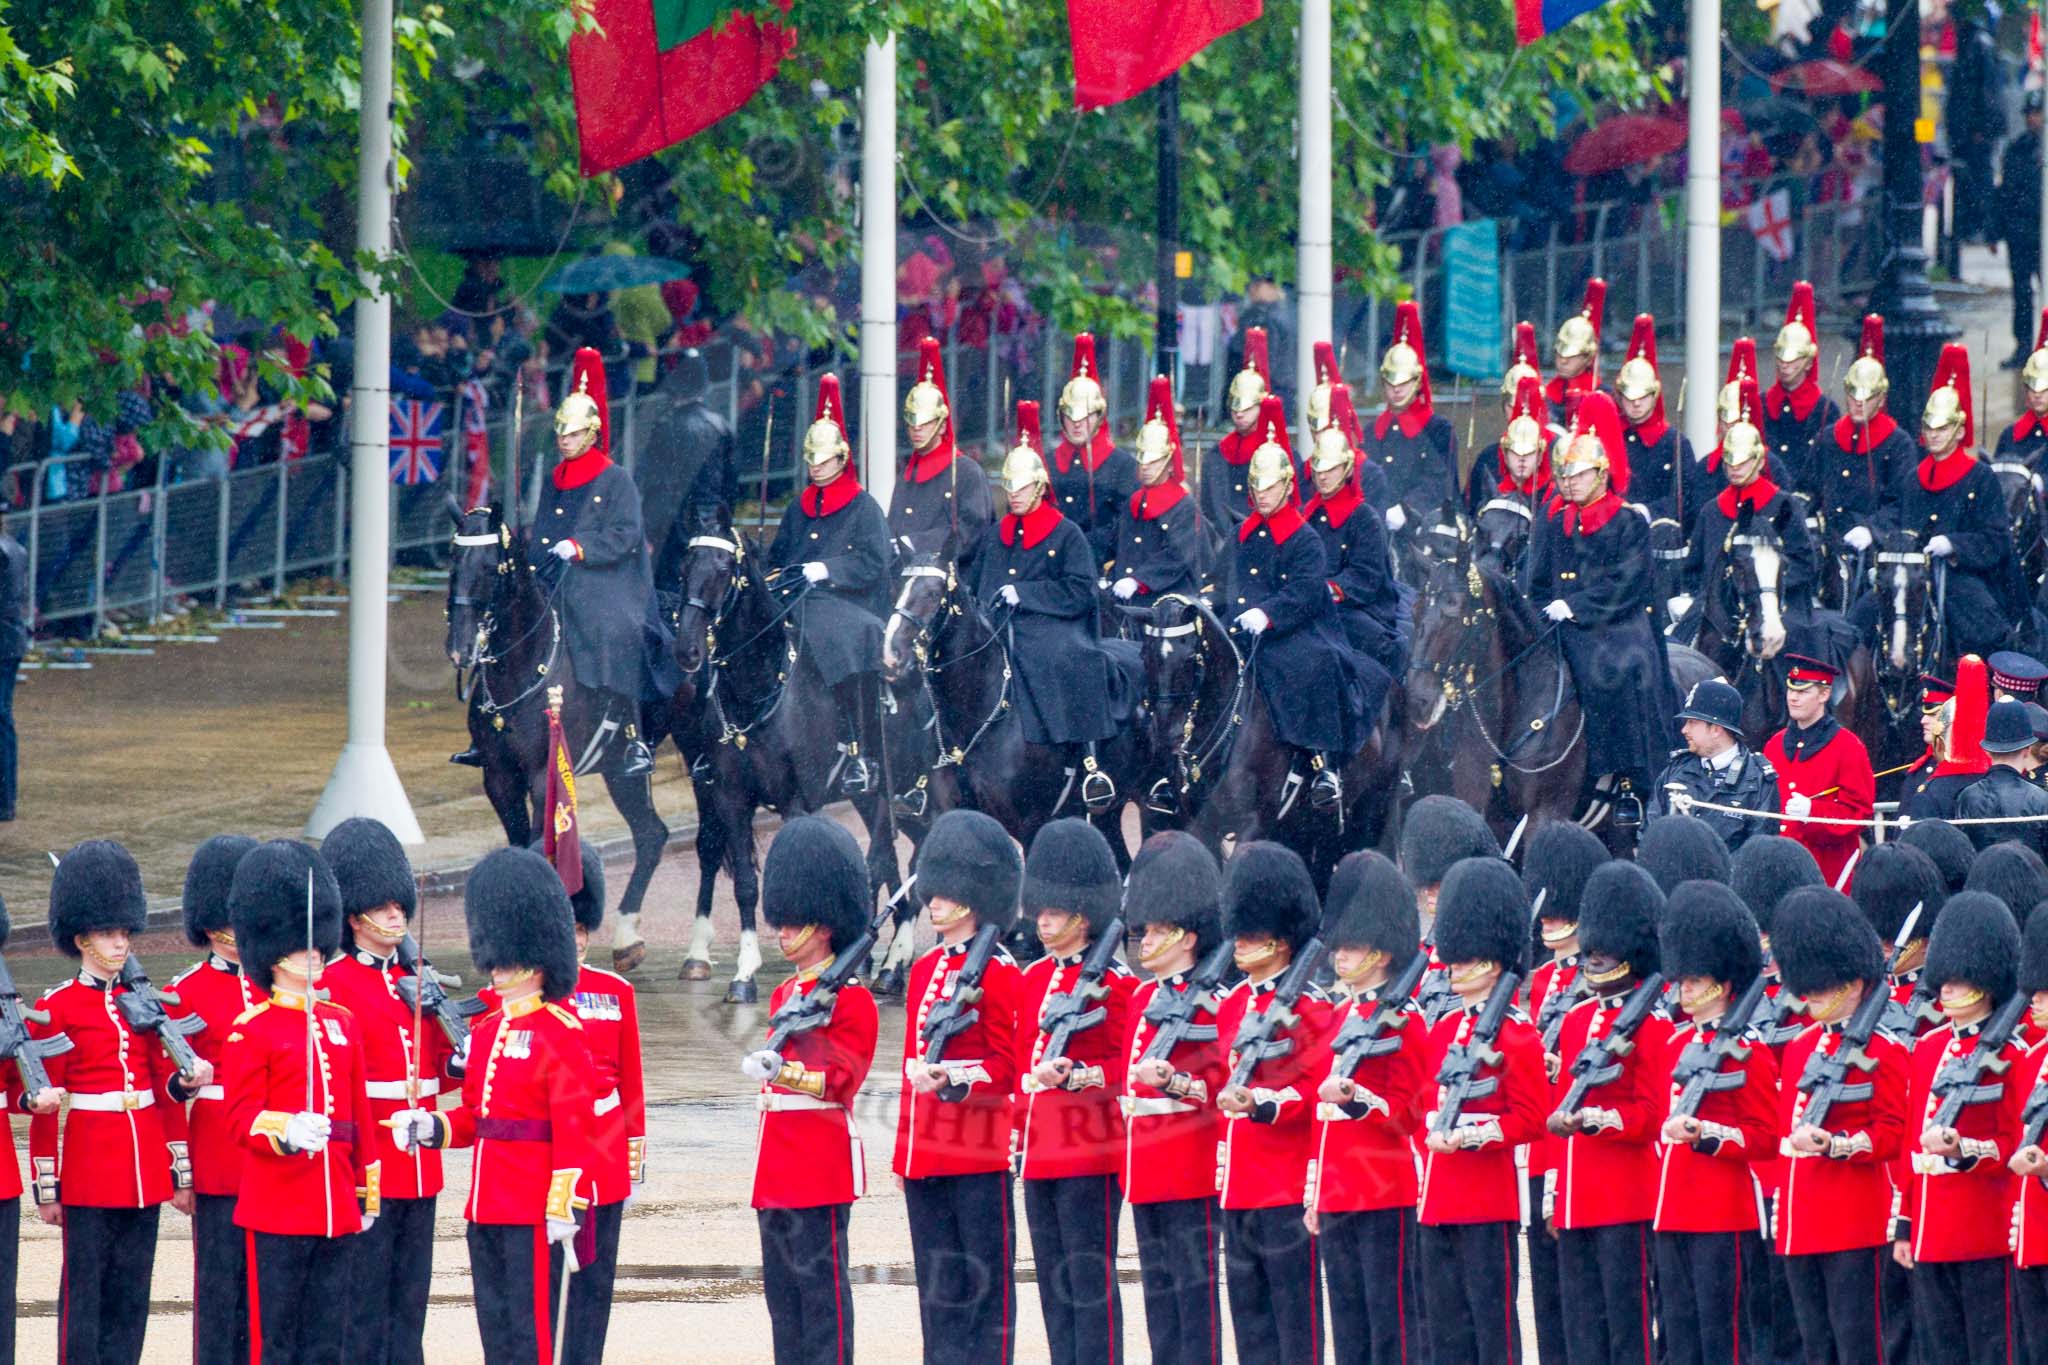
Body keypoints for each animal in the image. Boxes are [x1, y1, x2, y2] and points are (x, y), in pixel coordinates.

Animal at [446, 507, 671, 978]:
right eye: (452, 562)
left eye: (491, 568)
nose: (459, 648)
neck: (522, 665)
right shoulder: (499, 777)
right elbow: (517, 845)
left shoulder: (539, 776)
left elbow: (535, 847)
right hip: (620, 773)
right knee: (651, 834)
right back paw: (628, 939)